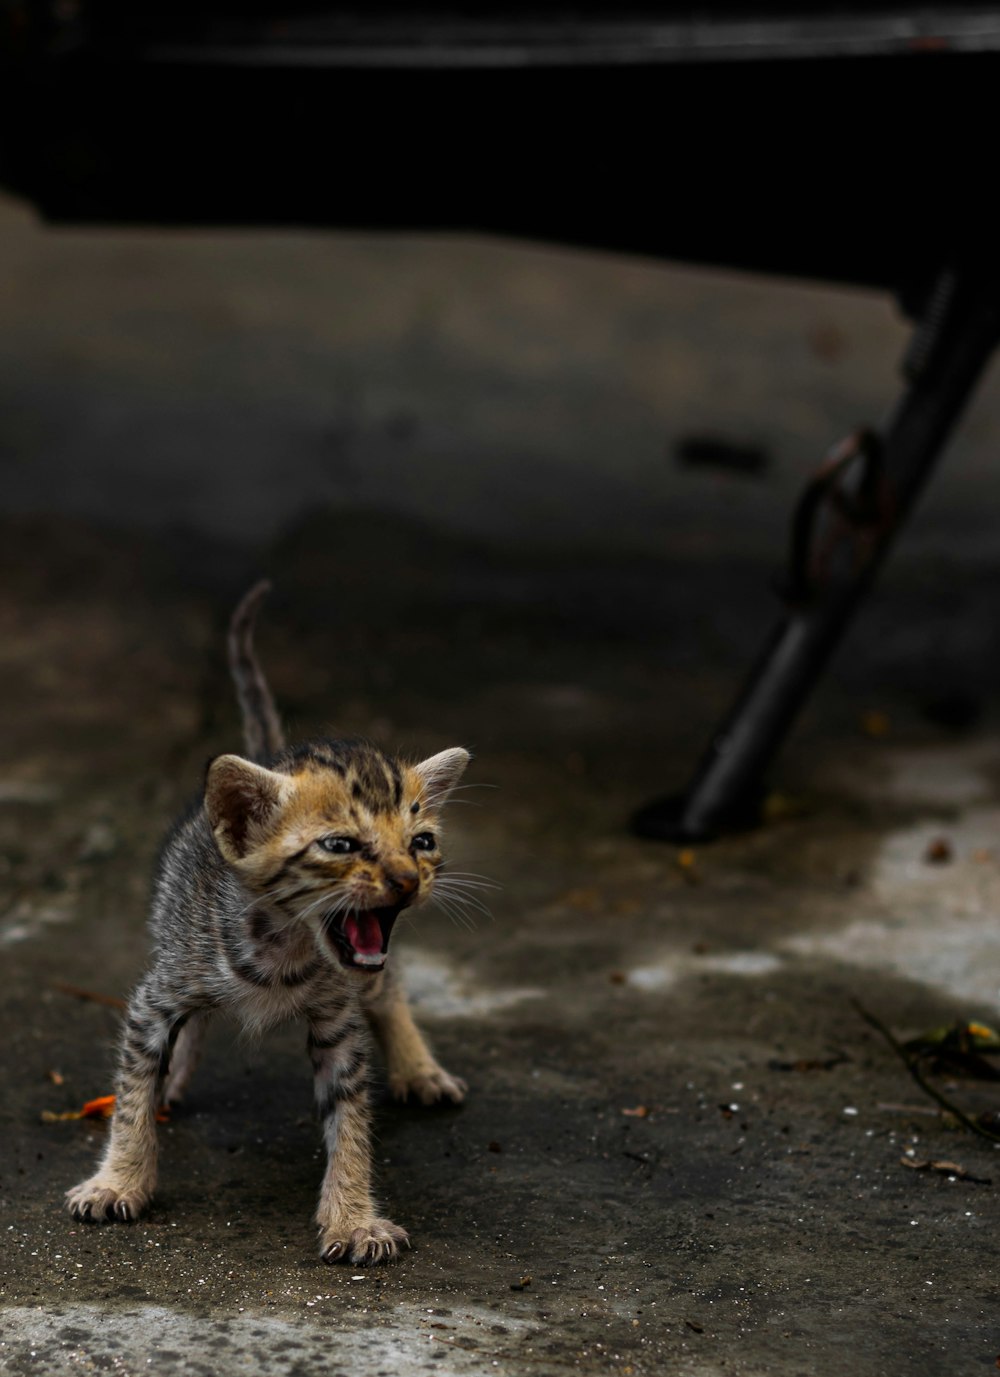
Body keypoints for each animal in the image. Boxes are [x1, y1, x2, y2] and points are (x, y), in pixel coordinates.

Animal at [67, 586, 473, 1261]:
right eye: (341, 845)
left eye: (421, 841)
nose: (407, 879)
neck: (284, 950)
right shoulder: (157, 995)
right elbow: (130, 1094)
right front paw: (120, 1178)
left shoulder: (338, 1022)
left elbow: (350, 1118)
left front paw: (351, 1217)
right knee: (195, 1027)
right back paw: (173, 1080)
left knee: (387, 989)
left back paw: (420, 1070)